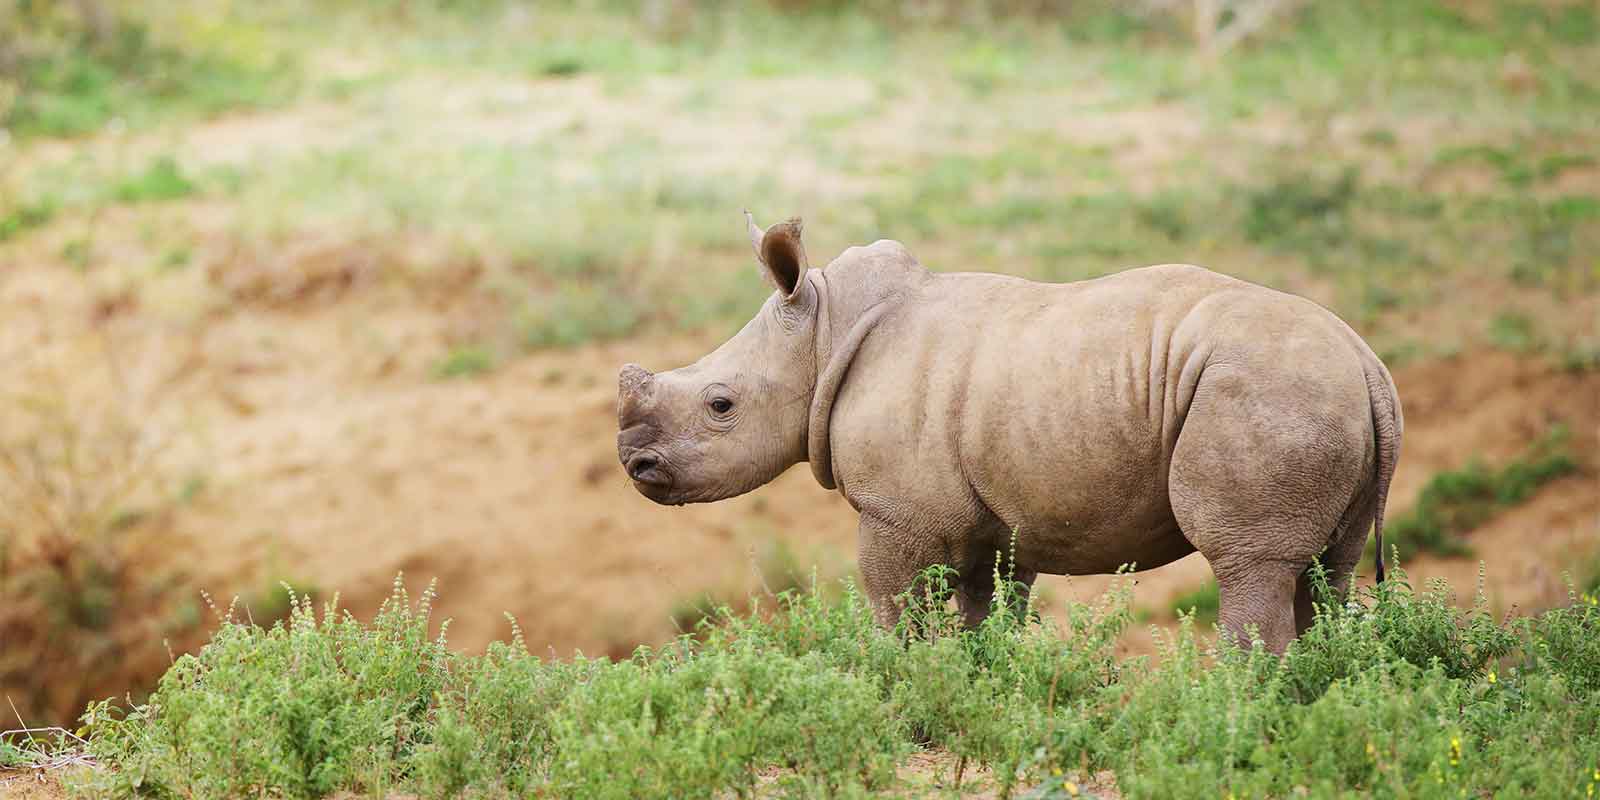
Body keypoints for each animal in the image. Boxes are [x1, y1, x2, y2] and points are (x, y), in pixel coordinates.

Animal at [617, 214, 1402, 652]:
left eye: (720, 405)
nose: (634, 464)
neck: (824, 330)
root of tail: (1368, 362)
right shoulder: (993, 515)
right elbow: (982, 611)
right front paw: (976, 682)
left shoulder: (897, 511)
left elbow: (892, 605)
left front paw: (896, 679)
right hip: (1318, 397)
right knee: (1325, 573)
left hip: (1267, 392)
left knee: (1249, 563)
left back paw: (1230, 708)